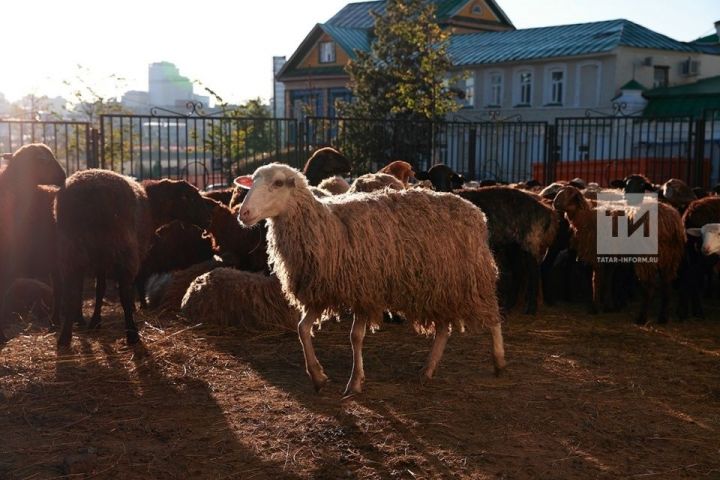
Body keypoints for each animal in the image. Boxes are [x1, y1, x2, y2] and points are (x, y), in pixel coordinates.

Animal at [233, 163, 504, 396]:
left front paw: (355, 382)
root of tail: (473, 210)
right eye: (252, 182)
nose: (243, 214)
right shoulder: (322, 291)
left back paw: (499, 361)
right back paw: (428, 369)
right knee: (443, 329)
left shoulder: (364, 290)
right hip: (439, 284)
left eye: (278, 183)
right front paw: (318, 377)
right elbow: (302, 328)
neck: (326, 224)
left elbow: (355, 337)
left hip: (473, 276)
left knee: (493, 318)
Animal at [552, 186, 688, 324]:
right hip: (670, 257)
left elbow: (596, 280)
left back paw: (642, 318)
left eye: (569, 193)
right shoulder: (611, 255)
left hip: (647, 255)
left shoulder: (596, 253)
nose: (554, 202)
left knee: (649, 287)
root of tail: (671, 222)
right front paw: (608, 306)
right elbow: (608, 280)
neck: (586, 216)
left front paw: (595, 308)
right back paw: (662, 318)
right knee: (667, 285)